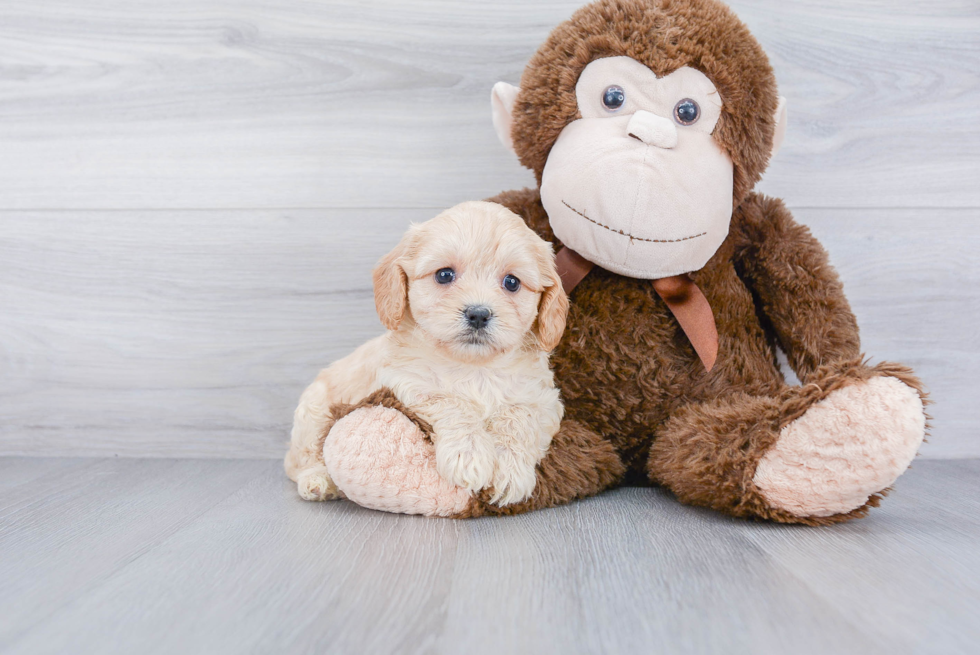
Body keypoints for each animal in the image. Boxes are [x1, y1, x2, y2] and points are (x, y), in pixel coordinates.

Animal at [284, 202, 572, 510]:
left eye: (512, 282)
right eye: (444, 275)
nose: (478, 314)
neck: (475, 367)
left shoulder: (544, 400)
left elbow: (519, 418)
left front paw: (510, 470)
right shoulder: (408, 382)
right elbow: (452, 403)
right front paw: (470, 456)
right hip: (313, 411)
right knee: (299, 460)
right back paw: (318, 481)